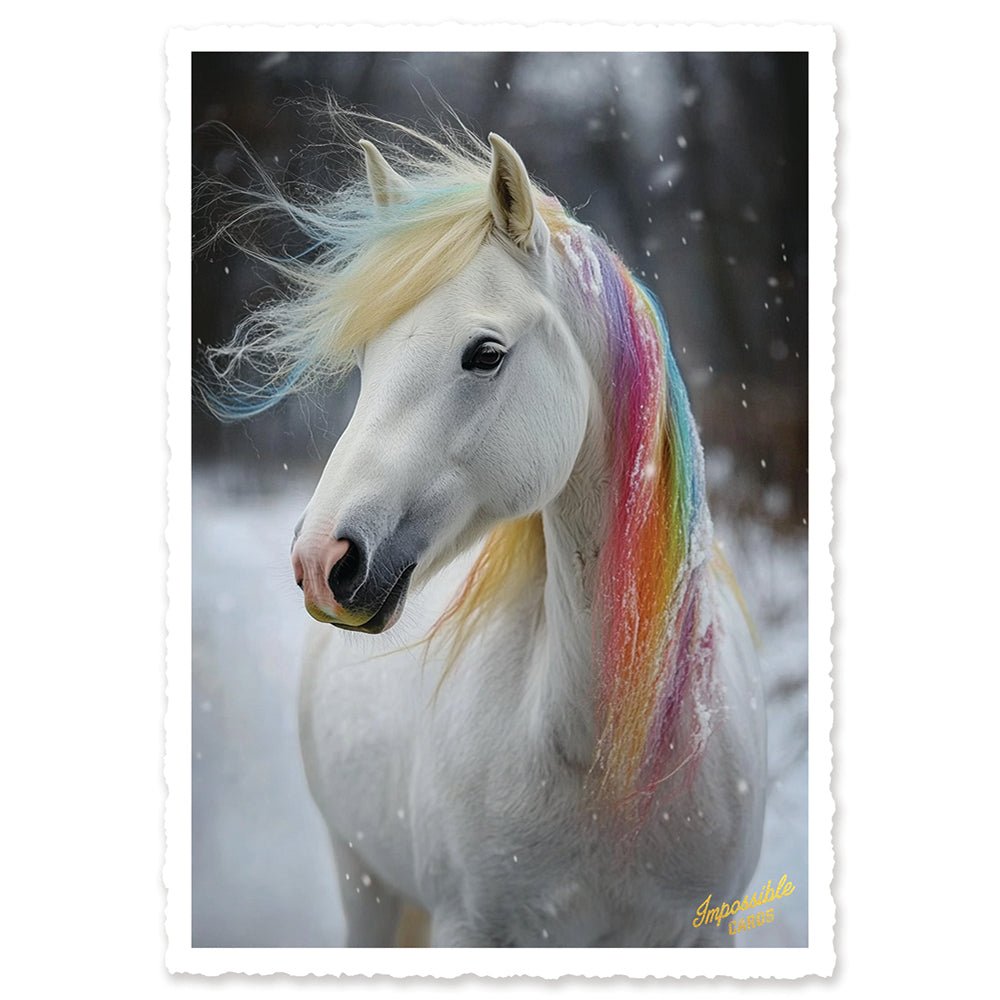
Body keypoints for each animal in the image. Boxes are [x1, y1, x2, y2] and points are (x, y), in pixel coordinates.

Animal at [206, 118, 766, 947]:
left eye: (486, 354)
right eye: (366, 359)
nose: (320, 559)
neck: (607, 757)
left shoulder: (705, 930)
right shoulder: (470, 928)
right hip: (363, 882)